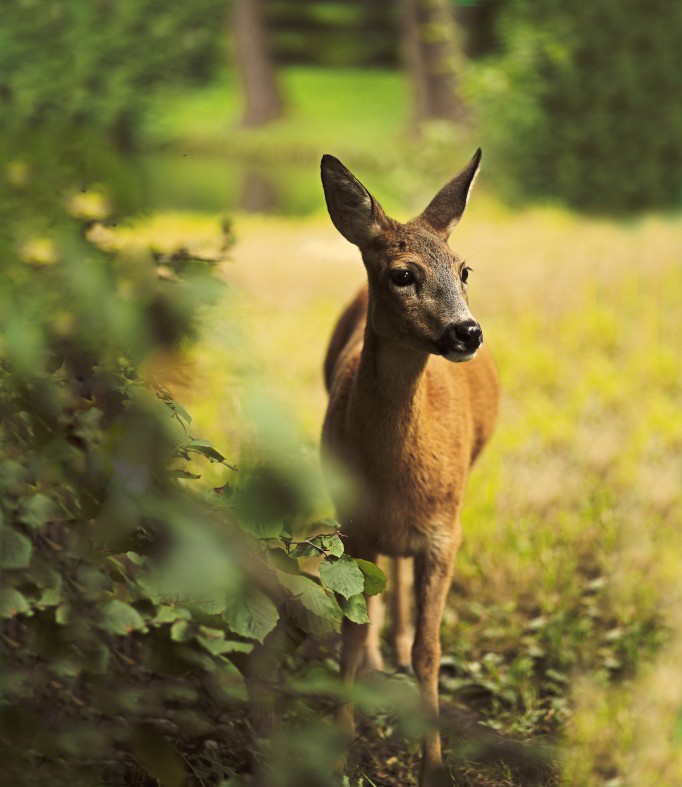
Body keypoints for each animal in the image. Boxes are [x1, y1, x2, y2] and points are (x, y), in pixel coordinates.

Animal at [318, 151, 500, 784]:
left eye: (465, 270)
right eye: (402, 274)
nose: (467, 331)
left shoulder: (448, 530)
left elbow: (431, 649)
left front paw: (434, 765)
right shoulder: (350, 524)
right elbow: (349, 632)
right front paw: (339, 748)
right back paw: (381, 652)